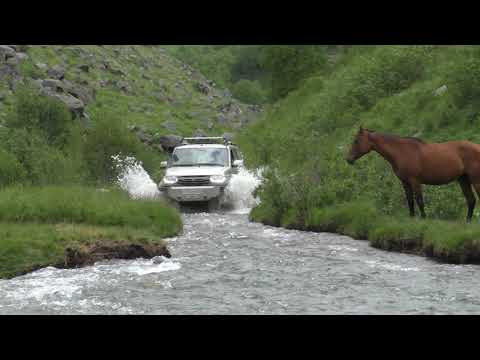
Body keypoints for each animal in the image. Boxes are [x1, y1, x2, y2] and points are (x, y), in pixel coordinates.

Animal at [344, 126, 480, 222]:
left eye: (356, 141)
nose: (348, 159)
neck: (402, 151)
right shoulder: (405, 182)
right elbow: (410, 200)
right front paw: (411, 218)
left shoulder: (415, 181)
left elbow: (419, 200)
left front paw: (423, 218)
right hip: (463, 180)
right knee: (471, 200)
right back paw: (467, 221)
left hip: (475, 180)